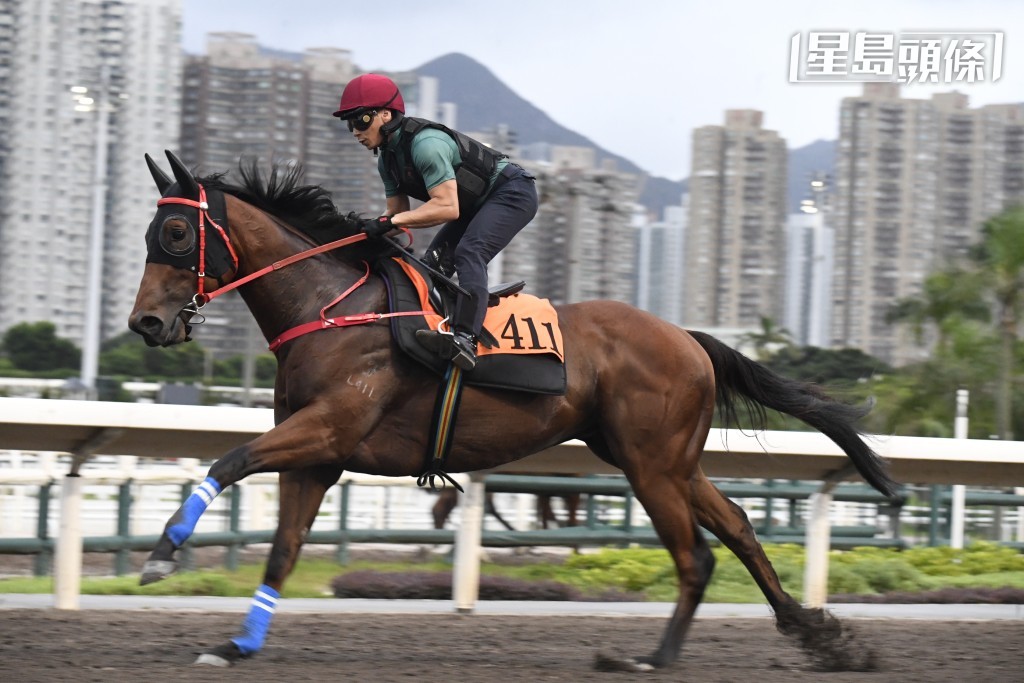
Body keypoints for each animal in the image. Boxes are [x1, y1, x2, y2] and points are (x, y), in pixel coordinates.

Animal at [129, 151, 898, 672]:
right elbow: (283, 548)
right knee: (737, 526)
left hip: (650, 464)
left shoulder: (326, 428)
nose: (146, 324)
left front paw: (163, 555)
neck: (331, 308)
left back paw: (652, 658)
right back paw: (815, 632)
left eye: (176, 235)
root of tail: (690, 338)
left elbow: (228, 459)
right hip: (665, 459)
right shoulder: (319, 456)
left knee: (696, 555)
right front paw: (236, 642)